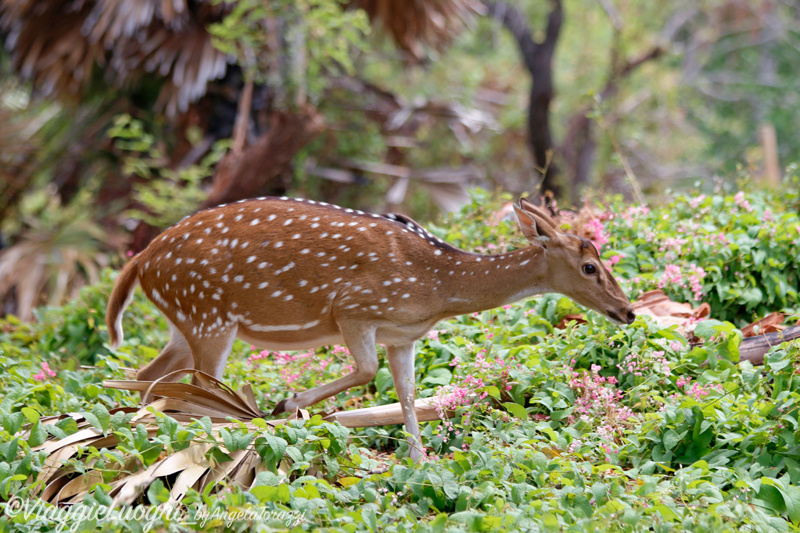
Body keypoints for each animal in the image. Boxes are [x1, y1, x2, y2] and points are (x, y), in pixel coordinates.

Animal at [106, 195, 636, 458]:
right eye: (590, 267)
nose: (628, 311)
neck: (437, 289)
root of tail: (141, 261)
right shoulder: (354, 310)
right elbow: (365, 371)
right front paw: (288, 405)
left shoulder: (404, 336)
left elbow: (406, 393)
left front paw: (420, 462)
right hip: (209, 315)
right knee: (199, 385)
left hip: (185, 320)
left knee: (148, 375)